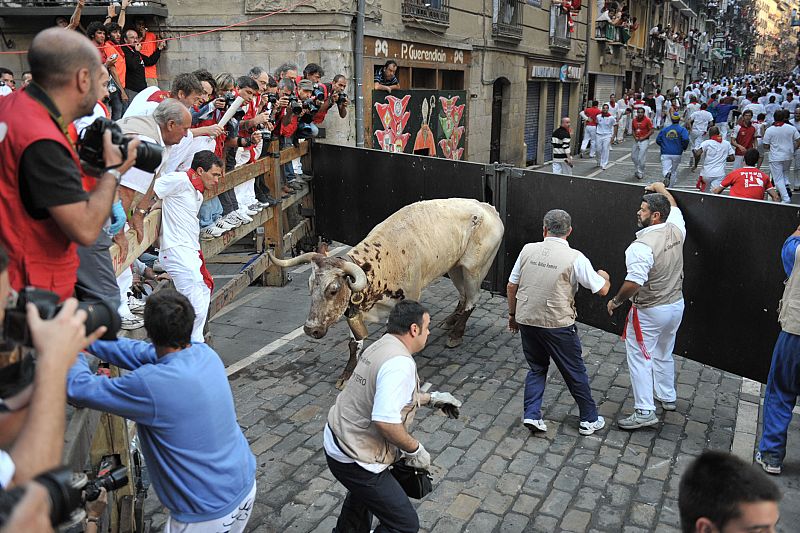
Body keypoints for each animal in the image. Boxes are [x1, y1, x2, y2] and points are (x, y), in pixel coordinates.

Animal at [268, 197, 506, 384]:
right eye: (309, 287)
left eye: (333, 290)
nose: (310, 329)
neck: (381, 264)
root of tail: (486, 207)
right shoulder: (354, 313)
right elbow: (354, 344)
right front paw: (347, 375)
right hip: (455, 266)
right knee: (463, 295)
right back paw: (451, 321)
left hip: (474, 268)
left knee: (472, 299)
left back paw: (456, 333)